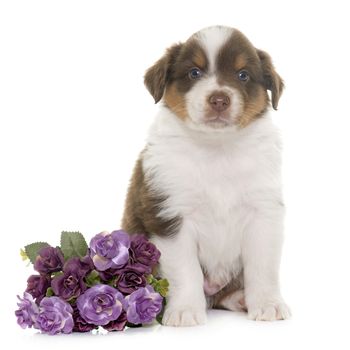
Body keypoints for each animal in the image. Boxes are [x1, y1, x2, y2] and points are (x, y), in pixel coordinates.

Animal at [121, 25, 292, 326]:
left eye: (243, 75)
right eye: (194, 73)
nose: (219, 100)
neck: (217, 149)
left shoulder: (263, 211)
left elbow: (263, 266)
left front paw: (268, 304)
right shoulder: (170, 214)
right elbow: (185, 270)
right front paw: (185, 311)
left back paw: (240, 298)